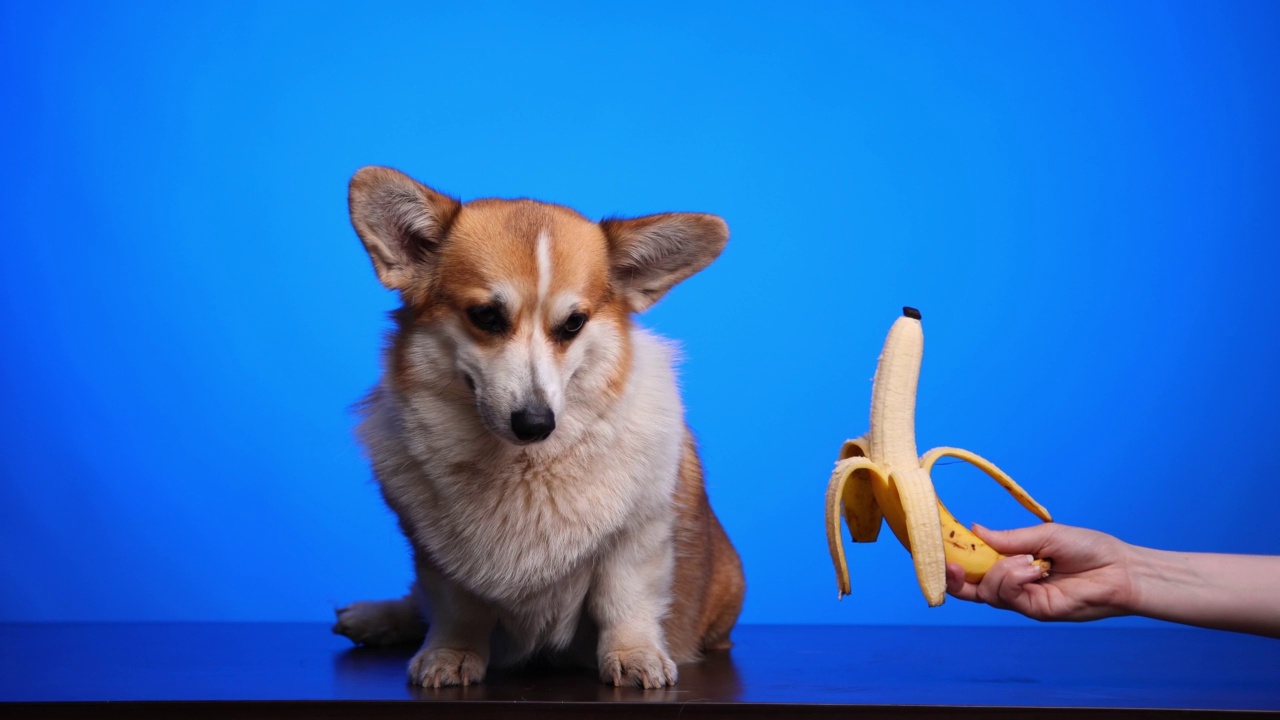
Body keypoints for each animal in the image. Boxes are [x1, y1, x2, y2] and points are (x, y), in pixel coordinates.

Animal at [335, 165, 747, 686]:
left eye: (573, 324)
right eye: (486, 316)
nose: (536, 423)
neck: (524, 465)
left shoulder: (636, 536)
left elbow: (624, 600)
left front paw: (634, 656)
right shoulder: (439, 558)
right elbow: (455, 609)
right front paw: (450, 654)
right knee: (418, 604)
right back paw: (373, 616)